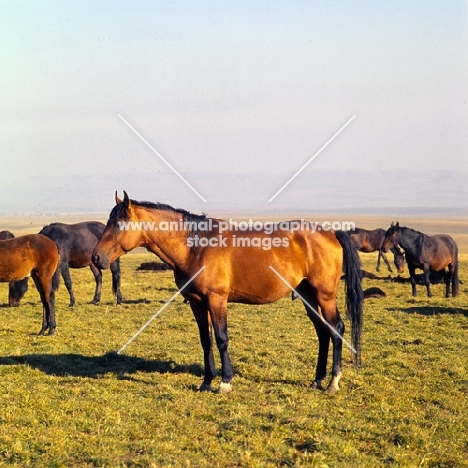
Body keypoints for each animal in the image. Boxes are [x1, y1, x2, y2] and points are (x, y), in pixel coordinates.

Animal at [93, 192, 364, 394]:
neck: (196, 247)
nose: (96, 257)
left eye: (118, 224)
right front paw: (206, 381)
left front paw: (224, 382)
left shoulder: (217, 299)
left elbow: (222, 338)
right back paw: (317, 379)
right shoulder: (197, 303)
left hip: (324, 295)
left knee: (336, 328)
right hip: (307, 294)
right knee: (323, 332)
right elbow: (206, 340)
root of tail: (331, 233)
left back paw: (333, 382)